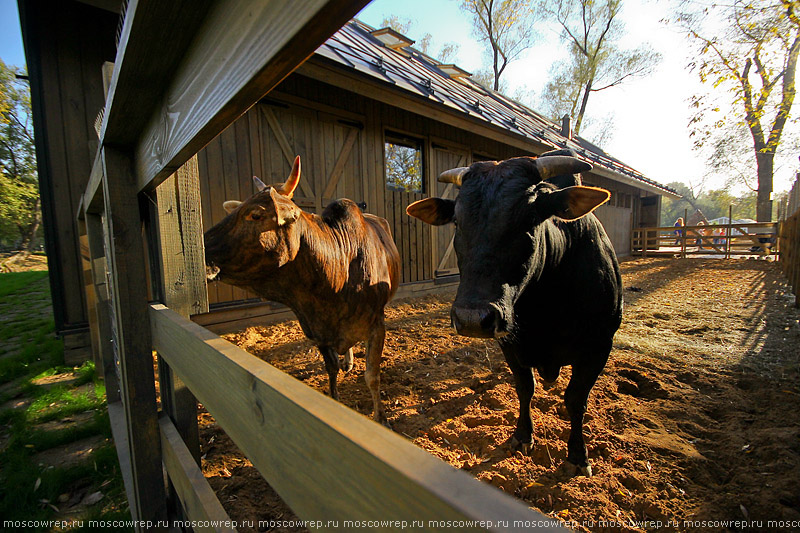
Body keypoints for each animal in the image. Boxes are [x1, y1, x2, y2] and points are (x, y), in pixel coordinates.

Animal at [206, 156, 404, 422]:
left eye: (255, 215)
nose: (203, 250)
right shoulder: (316, 330)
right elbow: (331, 369)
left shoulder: (376, 325)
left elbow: (372, 376)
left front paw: (381, 418)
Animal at [406, 154, 624, 474]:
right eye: (457, 221)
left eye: (530, 219)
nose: (472, 318)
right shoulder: (509, 344)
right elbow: (524, 387)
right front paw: (522, 435)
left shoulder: (598, 346)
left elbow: (576, 399)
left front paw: (577, 455)